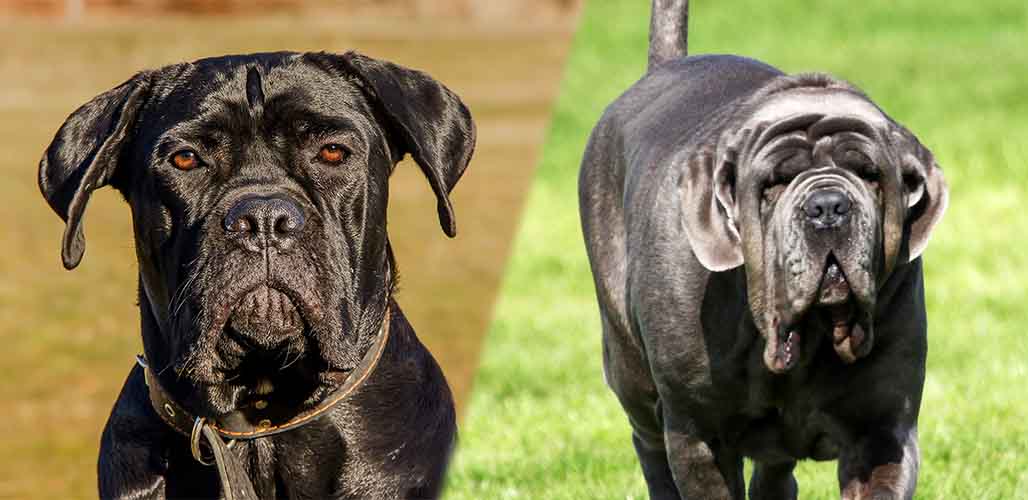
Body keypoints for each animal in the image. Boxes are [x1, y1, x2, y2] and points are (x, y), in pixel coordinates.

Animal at [583, 1, 941, 497]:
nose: (828, 207)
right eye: (773, 182)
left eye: (869, 174)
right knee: (649, 444)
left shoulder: (883, 430)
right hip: (630, 374)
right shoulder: (699, 435)